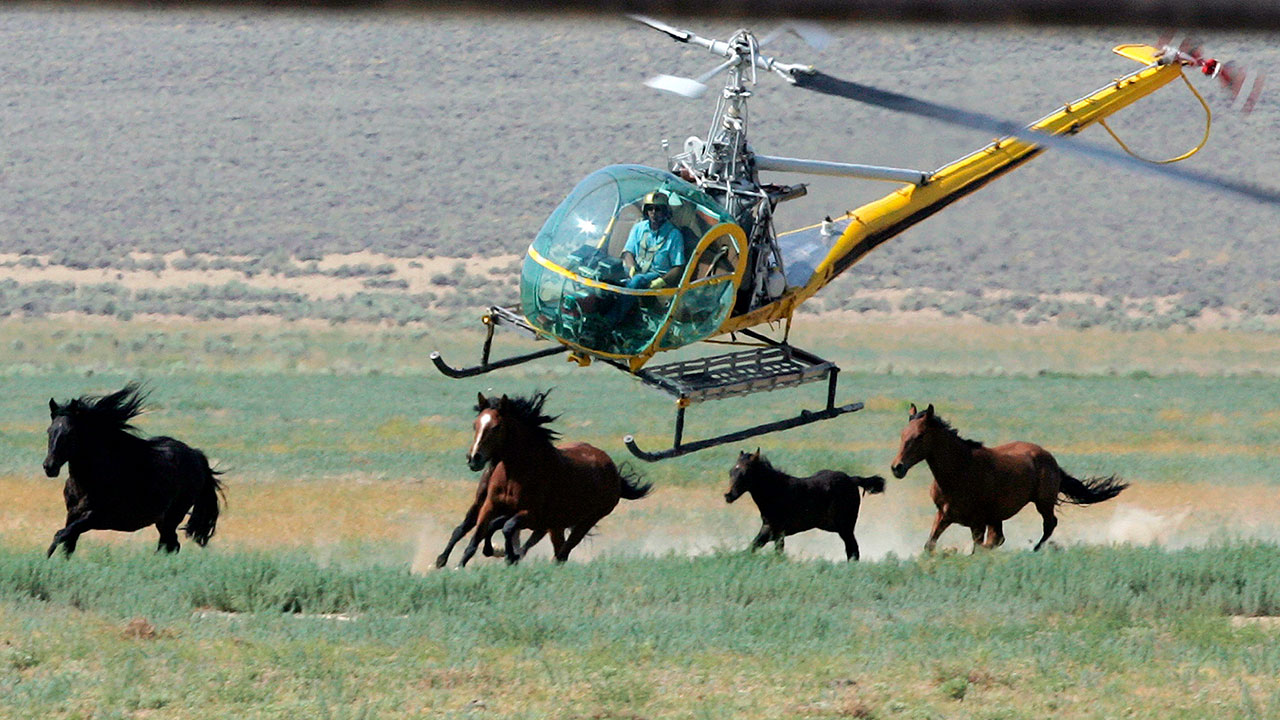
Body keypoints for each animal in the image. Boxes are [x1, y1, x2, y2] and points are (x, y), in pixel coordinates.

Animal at [43, 383, 224, 557]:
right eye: (49, 431)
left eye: (70, 433)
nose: (49, 467)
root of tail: (195, 455)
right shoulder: (72, 514)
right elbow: (67, 545)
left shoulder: (94, 517)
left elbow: (59, 535)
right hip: (163, 520)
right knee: (170, 545)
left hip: (172, 516)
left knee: (170, 545)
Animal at [448, 391, 652, 566]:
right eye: (475, 424)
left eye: (496, 427)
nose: (474, 458)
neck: (514, 474)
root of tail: (613, 470)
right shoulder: (490, 505)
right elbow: (477, 534)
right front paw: (460, 565)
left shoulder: (532, 515)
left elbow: (506, 527)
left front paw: (508, 556)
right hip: (556, 525)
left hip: (586, 521)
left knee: (562, 554)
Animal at [725, 449, 886, 561]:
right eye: (731, 471)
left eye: (745, 473)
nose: (728, 495)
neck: (777, 491)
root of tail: (852, 479)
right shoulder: (773, 532)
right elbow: (760, 549)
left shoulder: (774, 530)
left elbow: (760, 548)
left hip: (845, 526)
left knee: (853, 550)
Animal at [890, 403, 1127, 553]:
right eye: (902, 434)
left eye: (920, 436)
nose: (897, 468)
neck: (960, 470)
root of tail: (1049, 458)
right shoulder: (944, 515)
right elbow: (929, 545)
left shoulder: (978, 522)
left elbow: (978, 548)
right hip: (998, 516)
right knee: (1001, 537)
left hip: (1043, 502)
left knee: (1049, 524)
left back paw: (1034, 549)